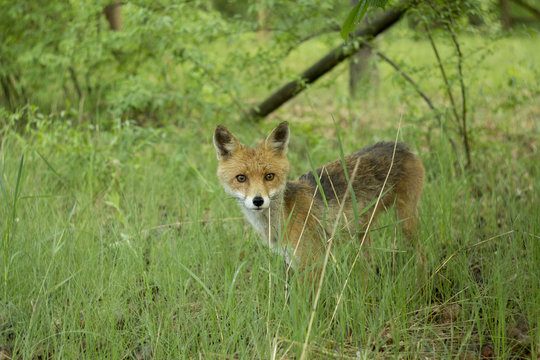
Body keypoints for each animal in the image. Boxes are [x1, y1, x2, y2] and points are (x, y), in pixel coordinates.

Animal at [213, 121, 424, 276]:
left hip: (406, 220)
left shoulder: (311, 261)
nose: (258, 201)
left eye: (269, 176)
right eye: (241, 178)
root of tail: (399, 144)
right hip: (362, 232)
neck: (281, 219)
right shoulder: (291, 260)